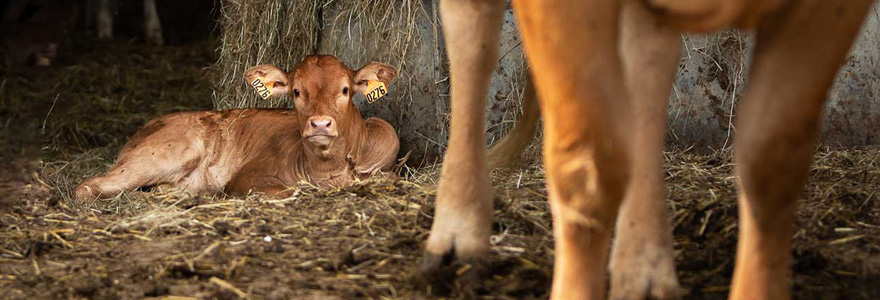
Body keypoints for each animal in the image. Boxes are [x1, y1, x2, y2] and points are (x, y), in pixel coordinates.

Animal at [75, 55, 398, 202]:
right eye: (296, 91)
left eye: (345, 90)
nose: (319, 123)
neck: (326, 171)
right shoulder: (246, 177)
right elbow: (285, 190)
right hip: (165, 155)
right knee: (86, 187)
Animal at [426, 0, 872, 300]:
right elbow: (587, 167)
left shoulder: (828, 13)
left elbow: (772, 160)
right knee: (472, 41)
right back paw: (458, 236)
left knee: (646, 68)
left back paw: (643, 270)